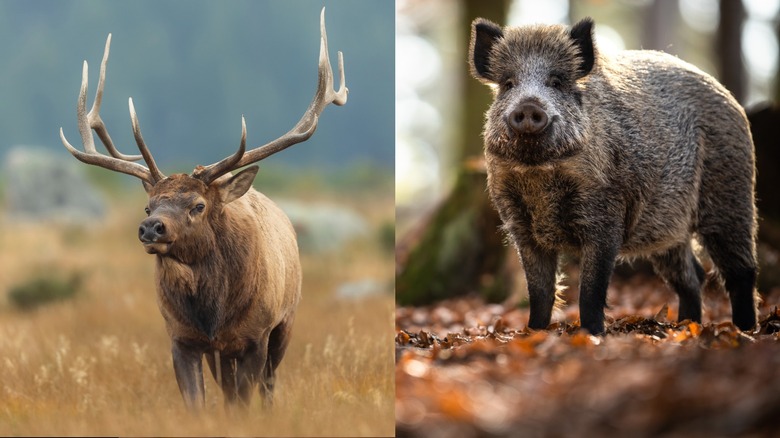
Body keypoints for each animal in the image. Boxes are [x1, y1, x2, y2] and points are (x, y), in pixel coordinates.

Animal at [58, 9, 347, 410]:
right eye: (148, 205)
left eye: (198, 205)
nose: (151, 228)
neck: (215, 315)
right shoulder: (181, 337)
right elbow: (198, 403)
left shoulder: (257, 333)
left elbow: (244, 402)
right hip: (221, 352)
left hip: (286, 321)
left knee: (269, 384)